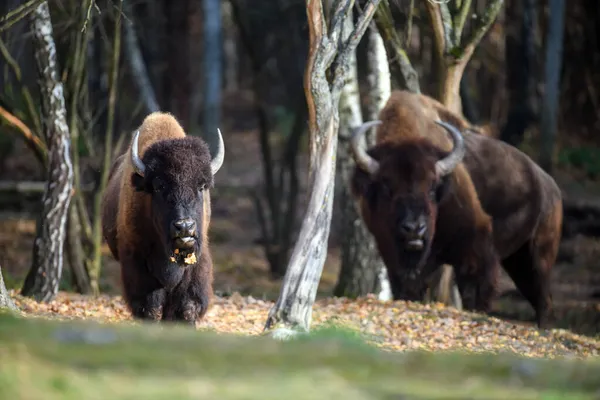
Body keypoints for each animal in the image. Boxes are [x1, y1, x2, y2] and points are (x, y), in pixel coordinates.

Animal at [101, 112, 225, 324]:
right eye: (159, 186)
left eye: (201, 186)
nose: (185, 227)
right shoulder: (137, 264)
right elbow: (150, 309)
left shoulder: (196, 264)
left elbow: (187, 308)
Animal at [350, 90, 564, 328]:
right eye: (387, 186)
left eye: (432, 186)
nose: (414, 229)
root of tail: (549, 184)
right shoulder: (392, 255)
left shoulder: (475, 249)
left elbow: (475, 289)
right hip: (518, 261)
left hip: (539, 257)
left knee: (543, 298)